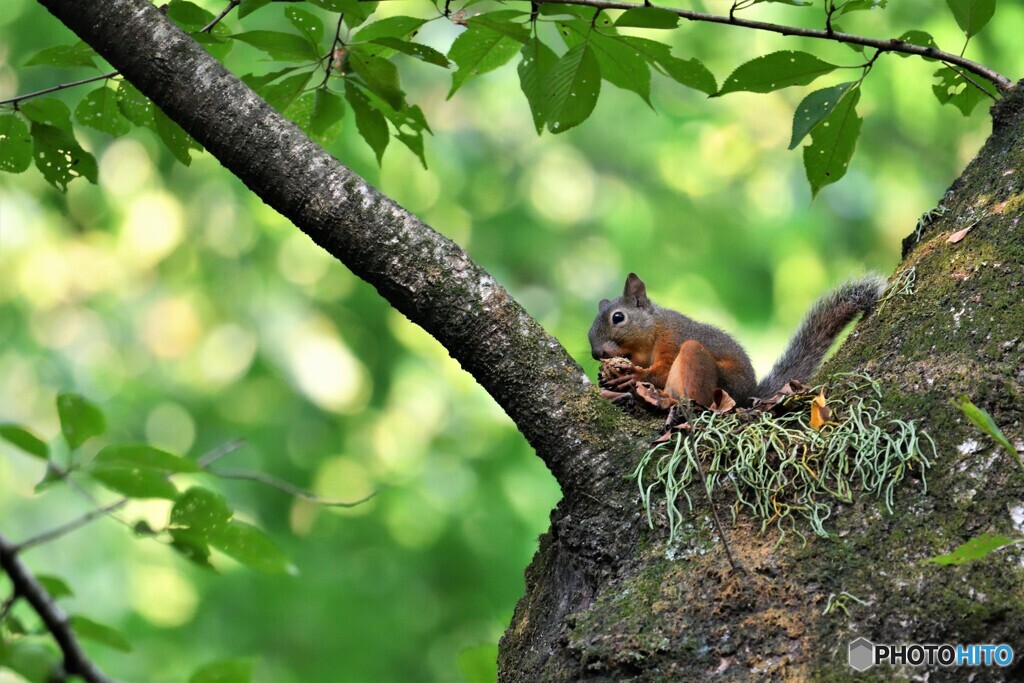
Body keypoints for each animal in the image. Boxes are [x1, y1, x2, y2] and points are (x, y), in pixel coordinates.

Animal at [593, 272, 888, 409]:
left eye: (618, 317)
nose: (596, 354)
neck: (651, 332)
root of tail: (747, 397)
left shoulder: (673, 339)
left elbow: (663, 369)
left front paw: (633, 376)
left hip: (716, 378)